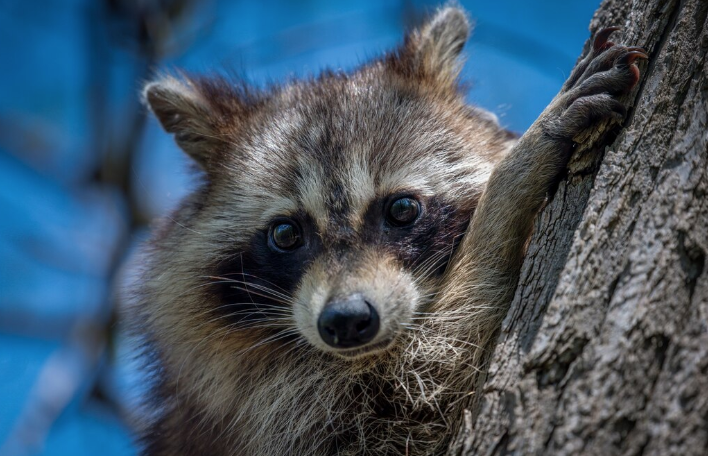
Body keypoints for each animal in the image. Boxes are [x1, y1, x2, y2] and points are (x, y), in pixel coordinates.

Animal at [130, 7, 644, 456]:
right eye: (285, 234)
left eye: (401, 210)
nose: (345, 320)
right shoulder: (279, 415)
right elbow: (429, 381)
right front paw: (512, 182)